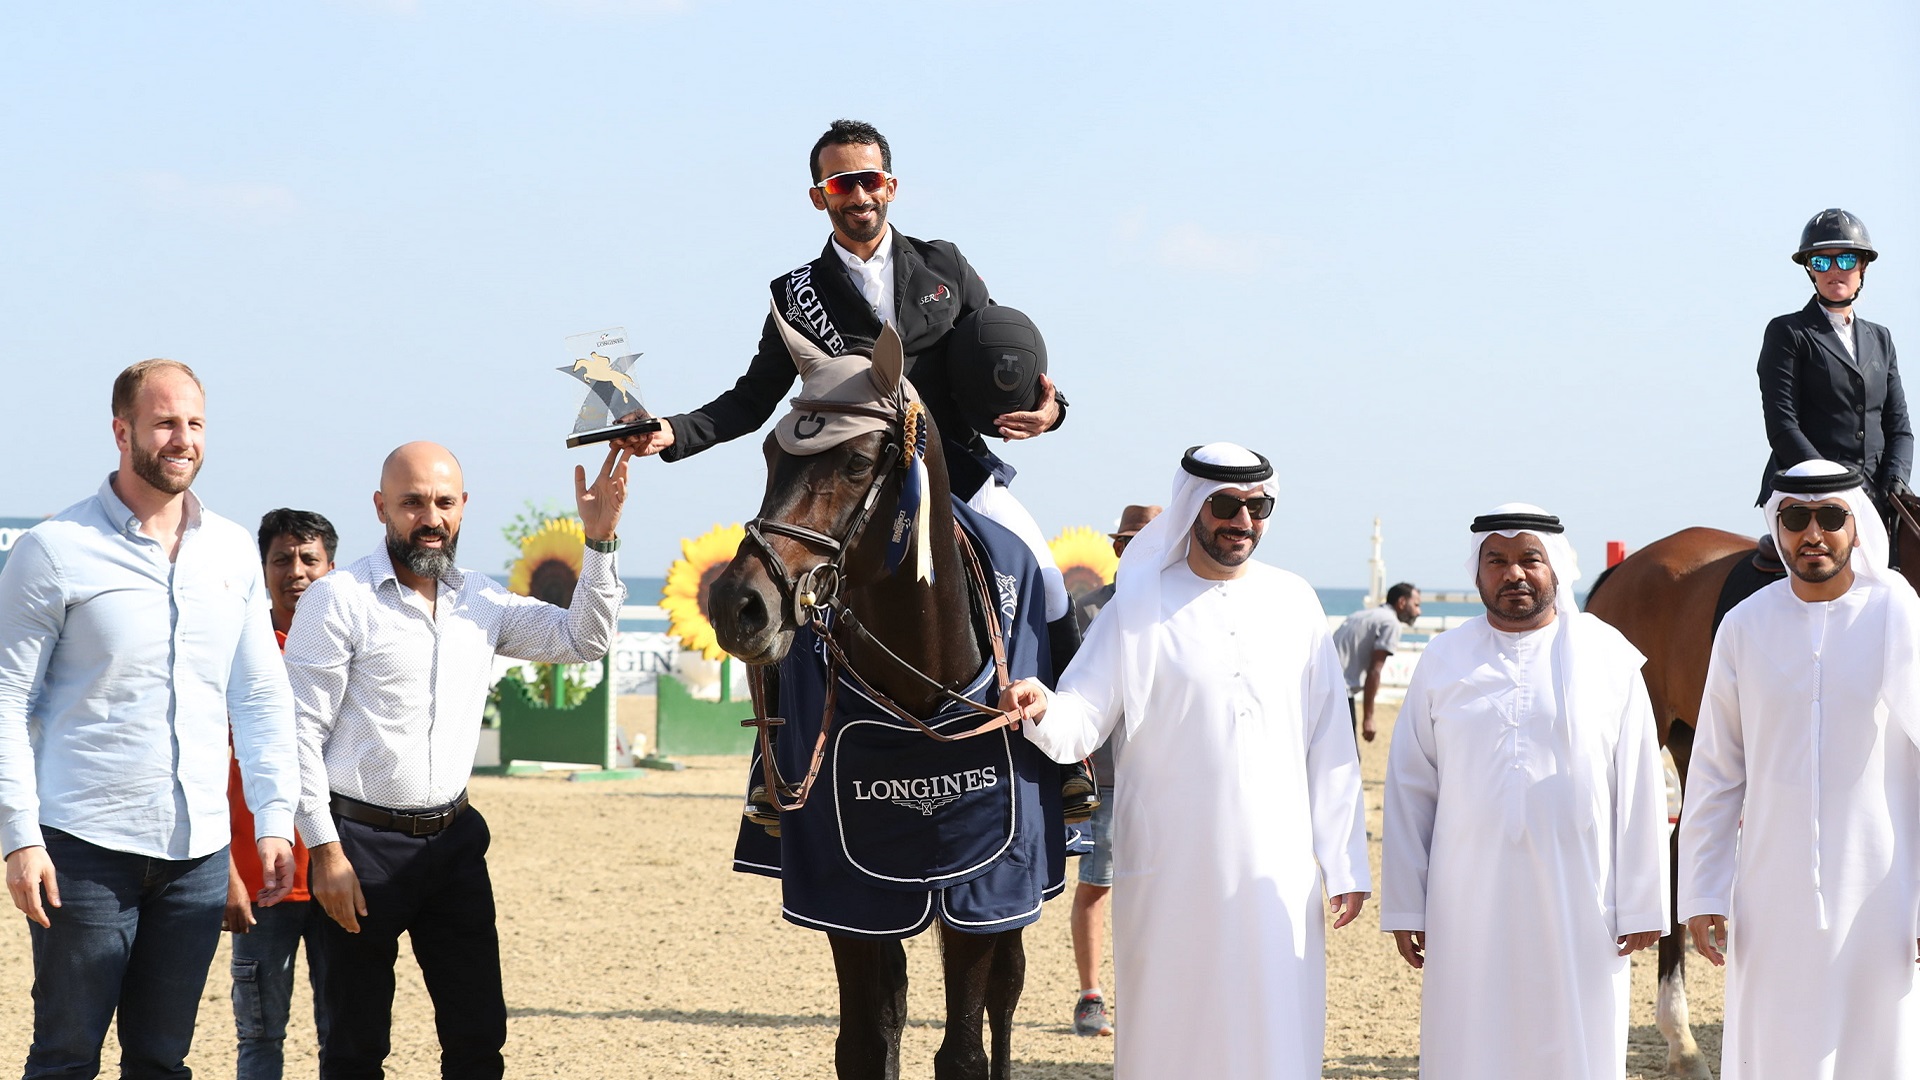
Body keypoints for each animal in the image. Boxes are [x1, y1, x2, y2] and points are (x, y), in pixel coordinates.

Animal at [710, 313, 1059, 1076]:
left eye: (855, 462)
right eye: (769, 454)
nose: (737, 605)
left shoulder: (985, 885)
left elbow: (963, 1050)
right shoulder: (850, 895)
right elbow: (867, 1044)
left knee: (1004, 1001)